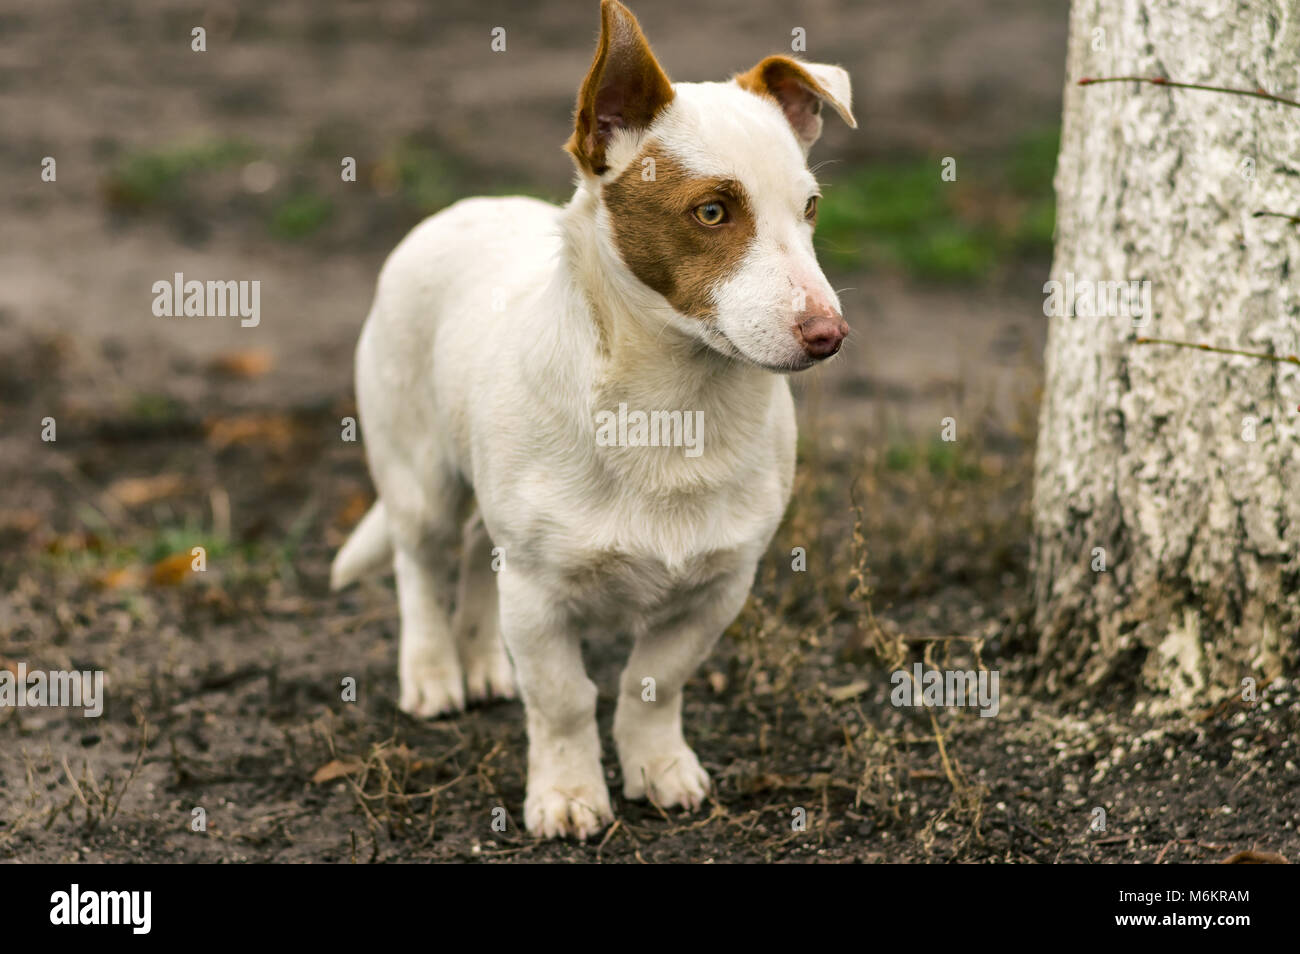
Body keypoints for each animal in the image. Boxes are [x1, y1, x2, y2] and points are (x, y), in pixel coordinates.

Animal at [330, 0, 852, 837]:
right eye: (712, 211)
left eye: (809, 209)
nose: (829, 334)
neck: (674, 407)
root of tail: (465, 207)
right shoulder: (539, 596)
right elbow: (565, 701)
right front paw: (569, 795)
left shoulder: (717, 590)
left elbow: (652, 683)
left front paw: (658, 768)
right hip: (420, 478)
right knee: (421, 563)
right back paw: (435, 671)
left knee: (474, 557)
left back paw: (482, 662)